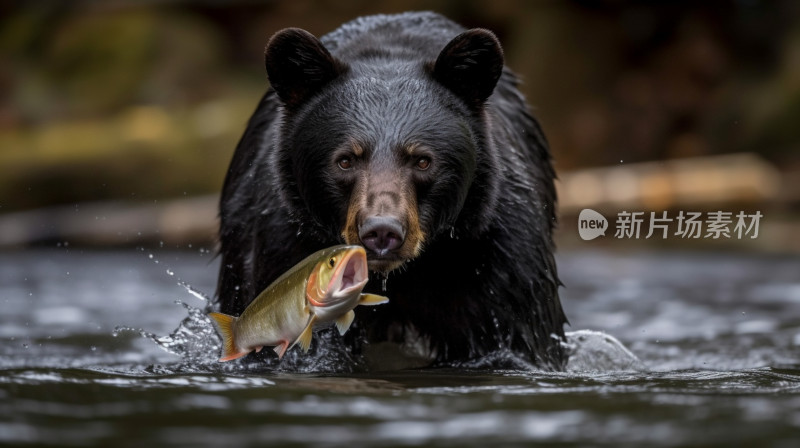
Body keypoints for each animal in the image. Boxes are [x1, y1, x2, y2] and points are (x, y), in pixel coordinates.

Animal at [217, 12, 568, 372]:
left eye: (423, 161)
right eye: (345, 160)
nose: (382, 231)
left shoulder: (496, 253)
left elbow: (517, 334)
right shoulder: (282, 246)